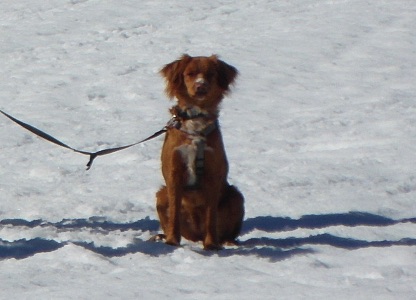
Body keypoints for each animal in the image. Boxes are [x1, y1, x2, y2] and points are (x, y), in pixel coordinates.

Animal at [155, 54, 244, 251]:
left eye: (210, 74)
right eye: (190, 74)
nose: (200, 86)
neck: (196, 119)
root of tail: (195, 235)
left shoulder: (213, 175)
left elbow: (211, 216)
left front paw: (211, 244)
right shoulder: (174, 173)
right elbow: (174, 214)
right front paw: (171, 241)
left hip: (235, 196)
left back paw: (227, 241)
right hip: (161, 194)